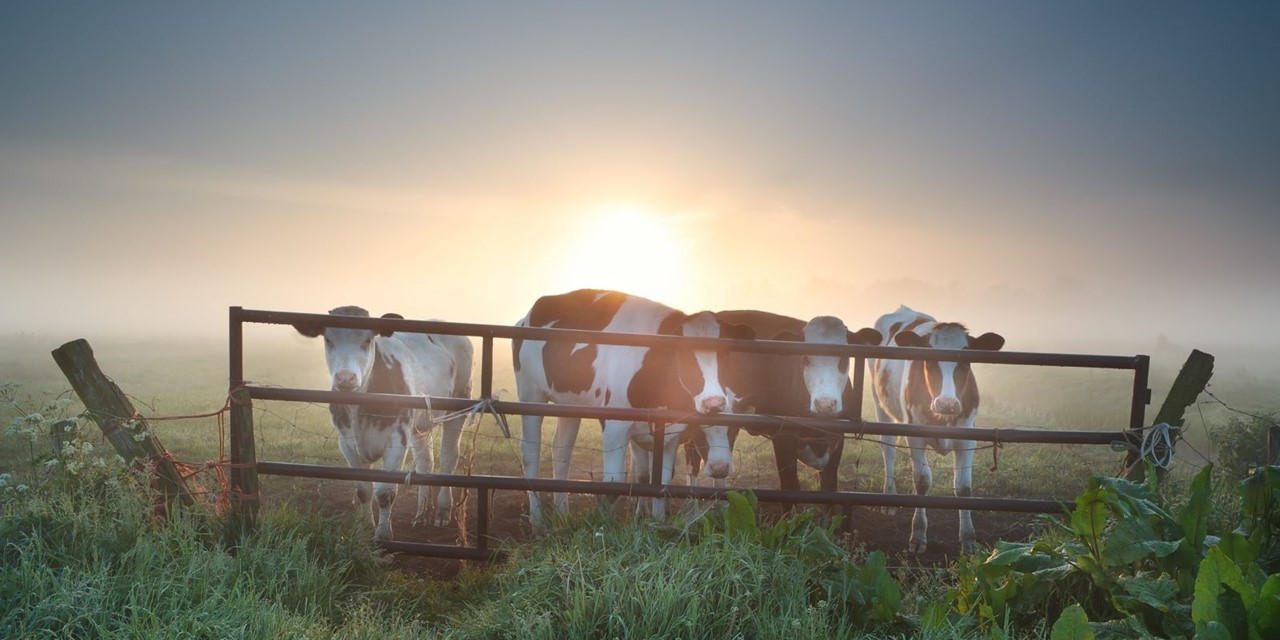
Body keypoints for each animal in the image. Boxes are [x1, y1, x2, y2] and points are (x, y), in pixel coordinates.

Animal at [293, 304, 476, 540]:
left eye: (368, 340)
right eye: (328, 340)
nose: (345, 378)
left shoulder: (397, 440)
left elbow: (386, 493)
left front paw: (383, 536)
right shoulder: (346, 442)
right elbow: (363, 490)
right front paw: (364, 528)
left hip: (459, 406)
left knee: (448, 457)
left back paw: (443, 511)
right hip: (419, 423)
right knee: (425, 461)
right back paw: (421, 514)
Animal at [509, 288, 752, 527]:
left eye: (725, 354)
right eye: (685, 356)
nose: (714, 402)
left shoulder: (668, 434)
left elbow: (660, 481)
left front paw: (656, 523)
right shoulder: (615, 426)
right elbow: (613, 483)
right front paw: (603, 525)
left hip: (568, 405)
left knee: (561, 451)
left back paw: (562, 517)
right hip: (531, 395)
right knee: (530, 452)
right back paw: (538, 522)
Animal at [691, 312, 880, 491]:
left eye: (845, 358)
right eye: (805, 358)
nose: (825, 404)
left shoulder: (838, 439)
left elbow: (830, 487)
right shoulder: (783, 437)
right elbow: (790, 486)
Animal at [865, 305, 1003, 555]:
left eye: (967, 360)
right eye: (927, 359)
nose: (946, 403)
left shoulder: (968, 438)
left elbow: (964, 487)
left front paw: (968, 540)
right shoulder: (915, 437)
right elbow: (922, 481)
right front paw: (918, 534)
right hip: (880, 404)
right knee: (888, 450)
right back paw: (889, 496)